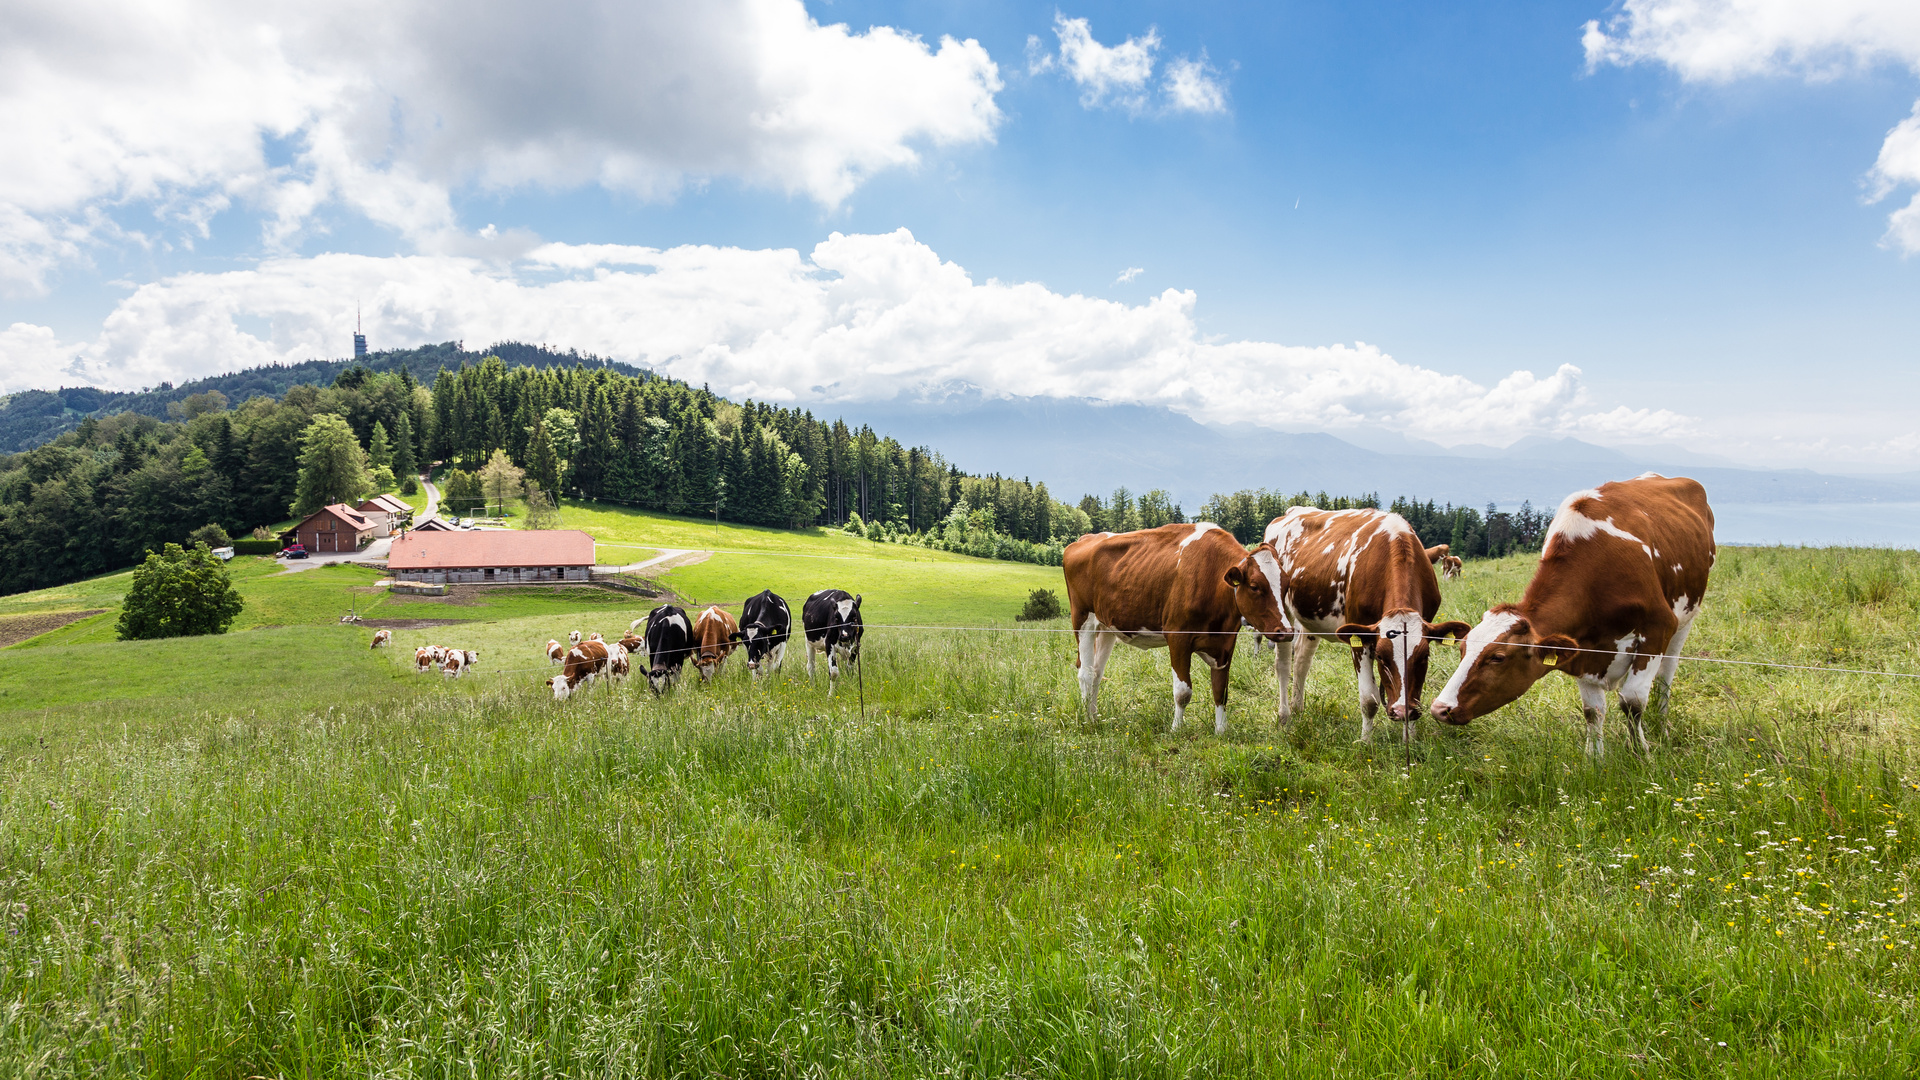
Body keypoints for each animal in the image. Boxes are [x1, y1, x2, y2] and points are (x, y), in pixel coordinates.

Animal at [1059, 518, 1297, 730]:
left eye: (1286, 584)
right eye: (1255, 586)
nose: (1285, 631)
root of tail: (1086, 538)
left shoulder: (1226, 643)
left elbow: (1220, 690)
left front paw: (1221, 731)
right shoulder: (1177, 637)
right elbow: (1183, 692)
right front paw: (1176, 730)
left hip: (1106, 626)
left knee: (1096, 672)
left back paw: (1094, 716)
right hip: (1083, 619)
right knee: (1085, 673)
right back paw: (1087, 722)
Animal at [1259, 503, 1466, 737]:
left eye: (1425, 656)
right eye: (1381, 657)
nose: (1400, 711)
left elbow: (1415, 698)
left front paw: (1410, 739)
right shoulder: (1360, 638)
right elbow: (1369, 700)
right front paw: (1366, 741)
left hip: (1311, 616)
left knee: (1302, 659)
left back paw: (1298, 708)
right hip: (1282, 612)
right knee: (1283, 665)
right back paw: (1285, 716)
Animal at [1428, 470, 1728, 757]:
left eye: (1498, 657)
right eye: (1462, 648)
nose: (1440, 708)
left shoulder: (1657, 628)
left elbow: (1632, 700)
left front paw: (1640, 754)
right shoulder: (1582, 648)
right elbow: (1593, 711)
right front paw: (1594, 758)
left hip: (1686, 617)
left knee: (1667, 674)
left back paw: (1662, 726)